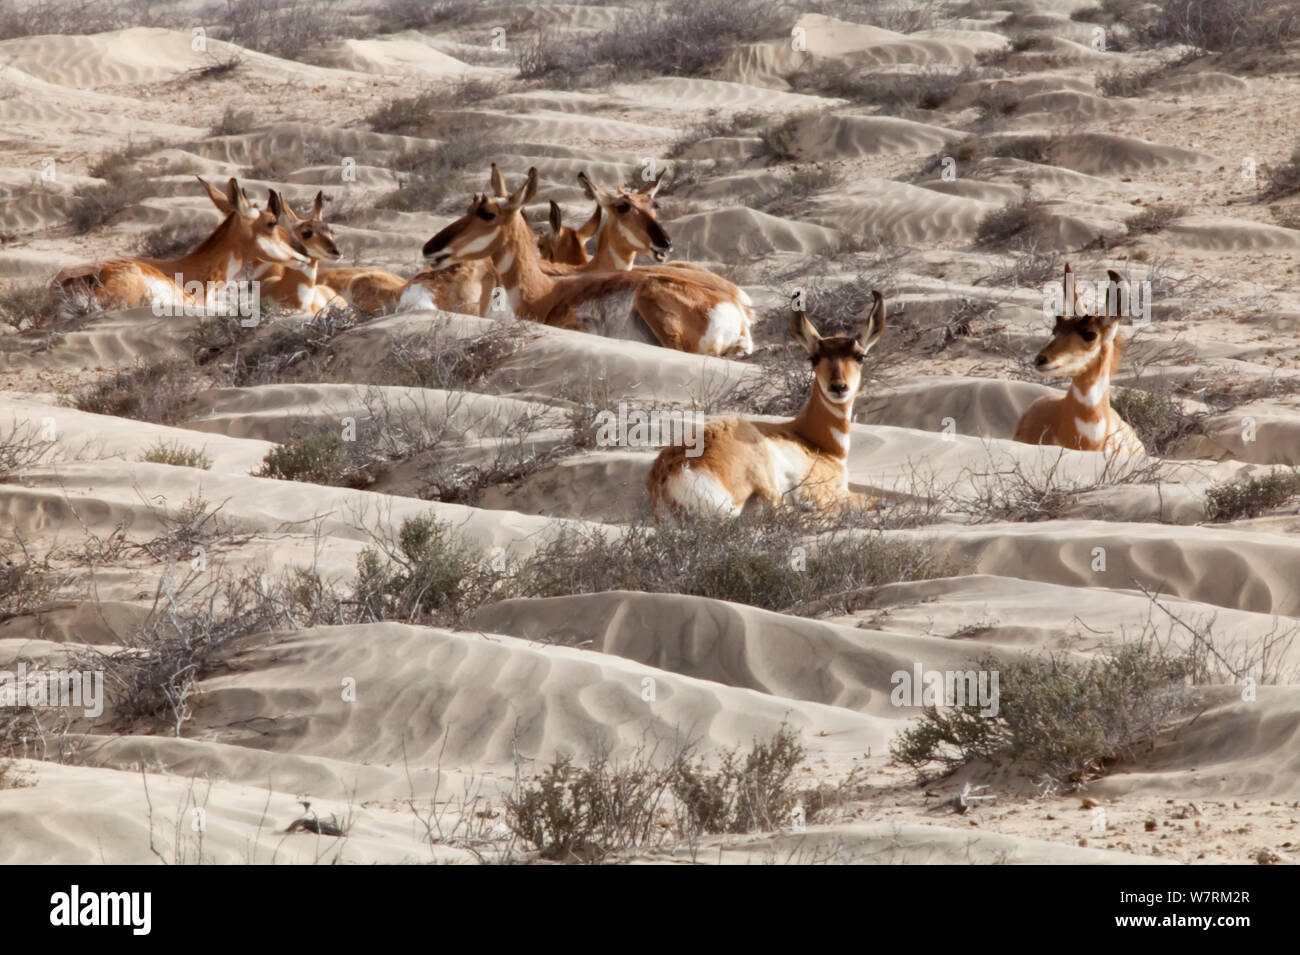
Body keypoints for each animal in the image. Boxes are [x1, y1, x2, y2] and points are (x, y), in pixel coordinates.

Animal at [421, 166, 759, 356]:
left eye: (487, 213)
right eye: (470, 208)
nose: (429, 249)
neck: (546, 291)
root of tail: (735, 309)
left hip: (652, 299)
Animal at [644, 289, 889, 519]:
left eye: (860, 356)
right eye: (814, 358)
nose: (838, 387)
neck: (813, 440)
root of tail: (671, 471)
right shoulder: (820, 489)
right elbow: (876, 499)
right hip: (763, 471)